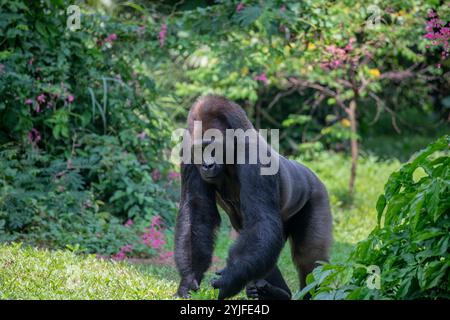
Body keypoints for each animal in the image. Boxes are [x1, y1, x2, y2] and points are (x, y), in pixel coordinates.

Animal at [174, 95, 332, 300]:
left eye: (214, 147)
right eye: (201, 150)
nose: (207, 165)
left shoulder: (256, 159)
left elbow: (261, 221)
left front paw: (231, 278)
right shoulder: (188, 155)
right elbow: (197, 214)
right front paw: (189, 278)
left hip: (317, 193)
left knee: (309, 258)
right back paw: (275, 292)